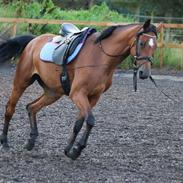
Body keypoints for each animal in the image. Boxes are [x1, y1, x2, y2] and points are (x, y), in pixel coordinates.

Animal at [0, 20, 160, 159]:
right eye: (142, 42)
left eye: (155, 46)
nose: (144, 73)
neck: (101, 58)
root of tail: (33, 41)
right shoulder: (78, 94)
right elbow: (90, 121)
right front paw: (77, 150)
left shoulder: (93, 97)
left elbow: (79, 123)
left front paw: (69, 150)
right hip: (21, 82)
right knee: (10, 108)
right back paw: (5, 142)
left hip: (53, 92)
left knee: (31, 107)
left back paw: (31, 142)